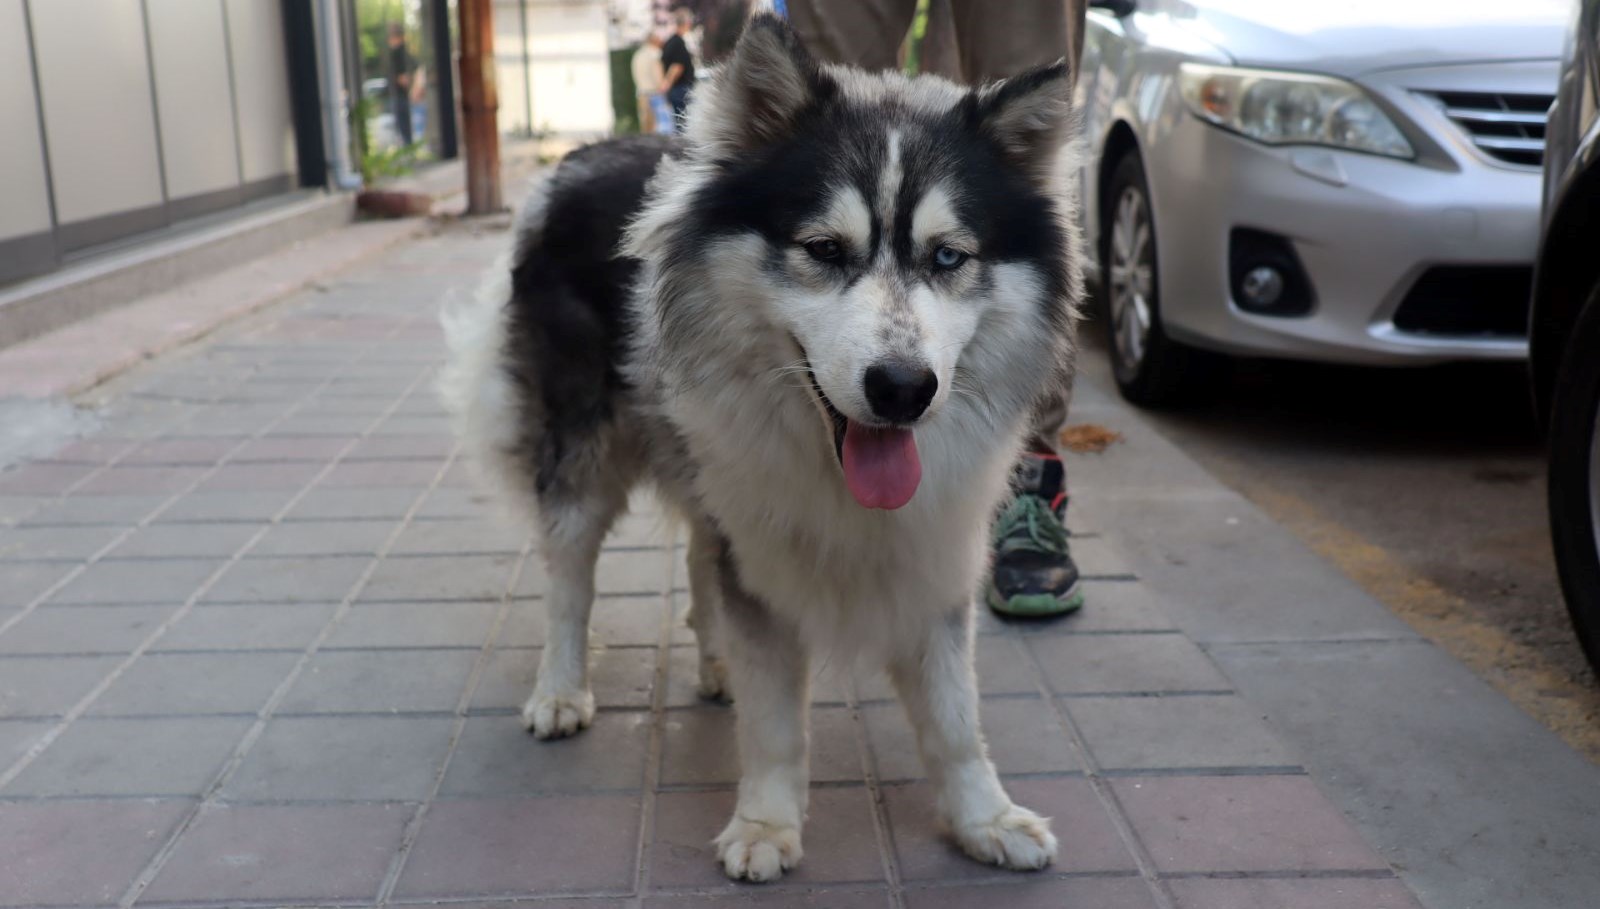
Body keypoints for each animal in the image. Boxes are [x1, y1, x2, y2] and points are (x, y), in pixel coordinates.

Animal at [444, 12, 1081, 883]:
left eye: (949, 256)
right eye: (825, 250)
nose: (902, 388)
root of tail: (577, 154)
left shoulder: (935, 545)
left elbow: (954, 713)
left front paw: (985, 815)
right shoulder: (762, 550)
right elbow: (776, 715)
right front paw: (767, 823)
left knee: (698, 556)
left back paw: (714, 664)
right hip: (581, 453)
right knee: (571, 576)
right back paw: (563, 689)